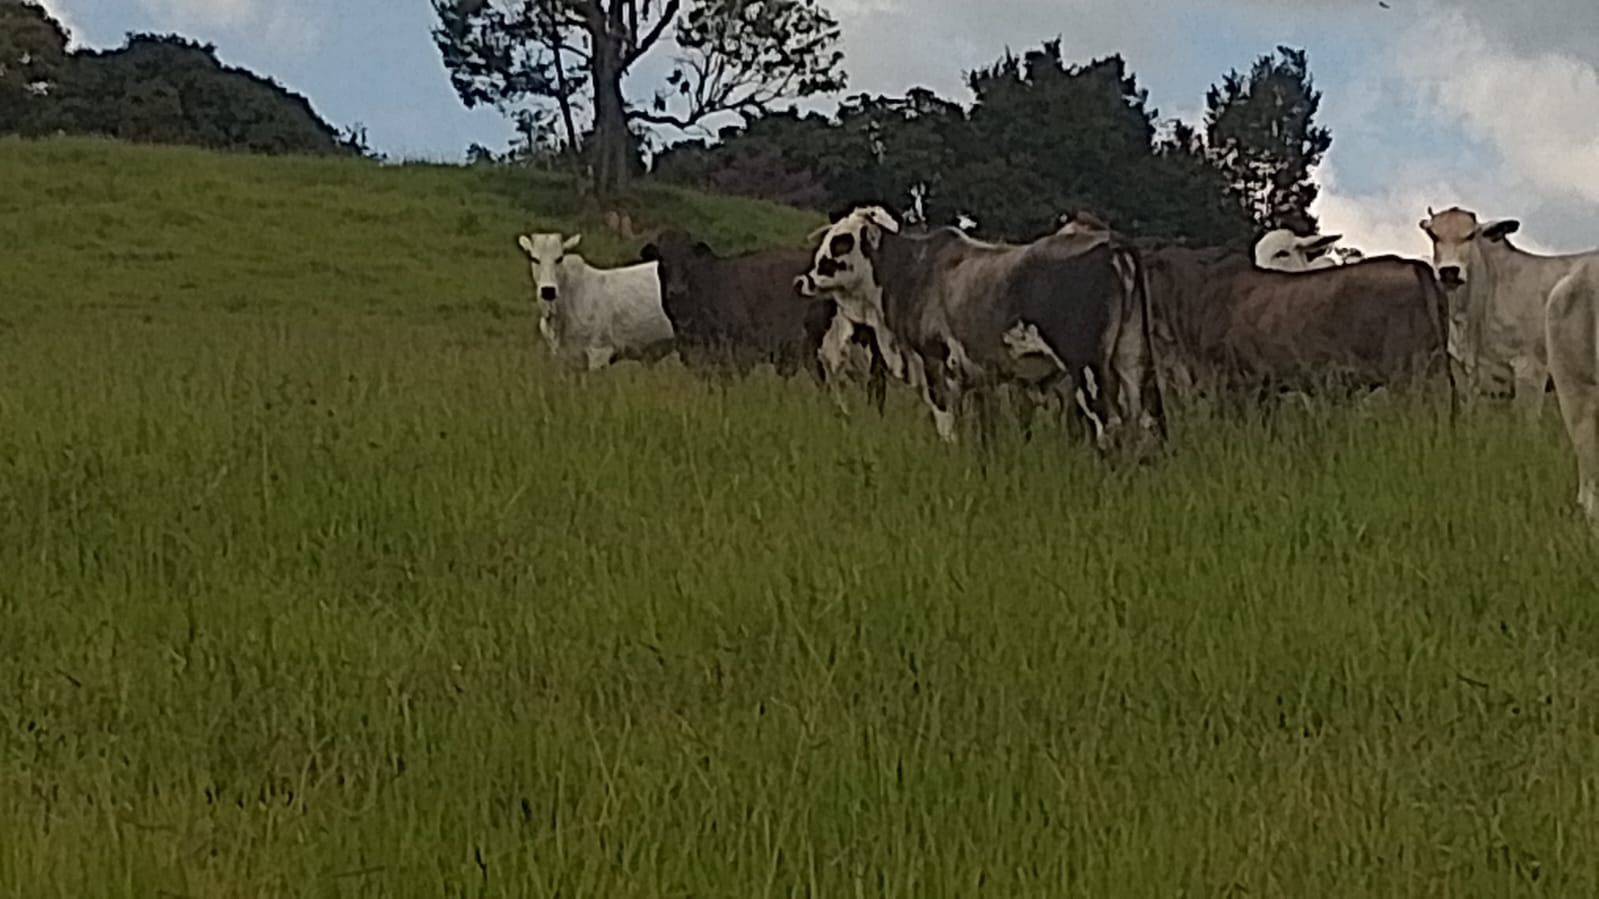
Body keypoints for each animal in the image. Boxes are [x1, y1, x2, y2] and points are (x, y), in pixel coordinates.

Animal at [796, 203, 1164, 454]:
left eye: (841, 242)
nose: (804, 280)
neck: (911, 271)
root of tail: (1111, 242)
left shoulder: (935, 365)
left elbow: (947, 425)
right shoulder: (978, 376)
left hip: (1088, 368)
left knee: (1109, 426)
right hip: (1132, 360)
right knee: (1147, 421)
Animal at [1426, 206, 1599, 531]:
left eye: (1470, 235)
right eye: (1433, 234)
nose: (1449, 272)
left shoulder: (1530, 370)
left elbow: (1526, 431)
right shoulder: (1469, 380)